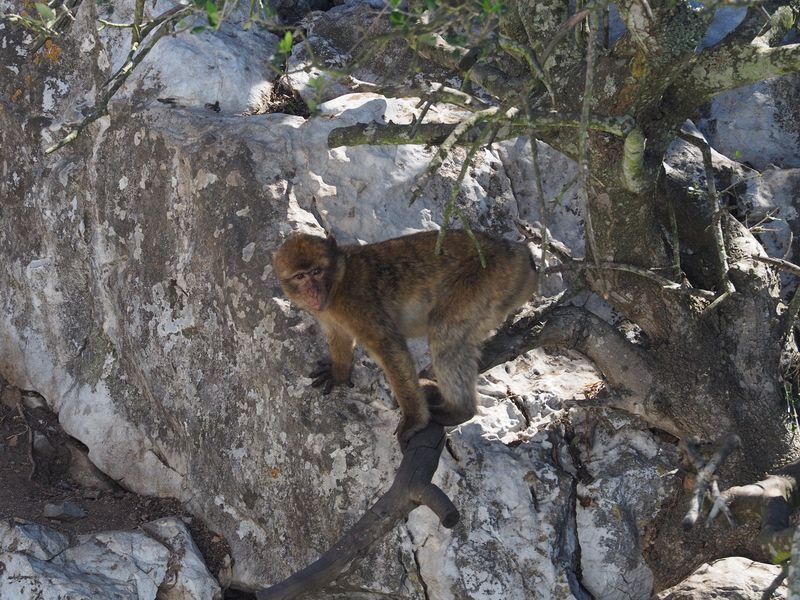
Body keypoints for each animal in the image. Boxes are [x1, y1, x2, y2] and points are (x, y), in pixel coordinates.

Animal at [272, 229, 540, 440]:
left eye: (317, 271)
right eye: (300, 276)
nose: (313, 291)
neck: (338, 281)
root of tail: (520, 252)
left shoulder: (357, 303)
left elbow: (389, 347)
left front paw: (414, 420)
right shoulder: (329, 314)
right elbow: (340, 338)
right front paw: (338, 372)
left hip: (490, 277)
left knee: (445, 328)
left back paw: (459, 411)